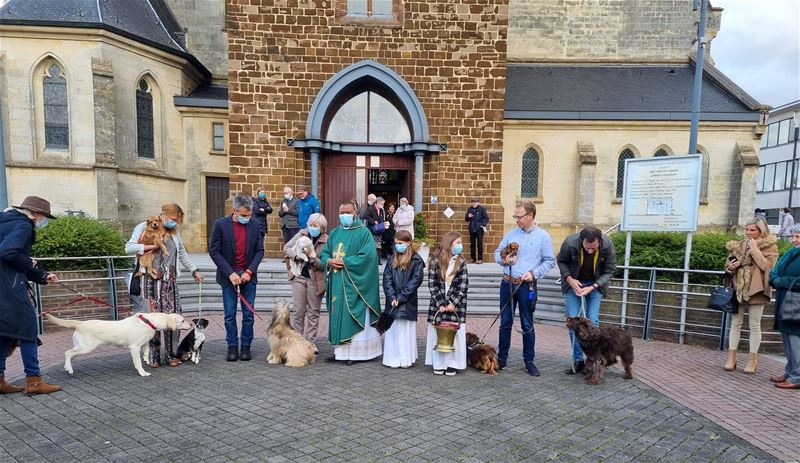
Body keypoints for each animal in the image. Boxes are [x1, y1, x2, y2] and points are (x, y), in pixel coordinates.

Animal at [46, 312, 193, 376]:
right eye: (182, 320)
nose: (192, 324)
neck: (150, 321)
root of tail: (80, 323)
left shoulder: (142, 343)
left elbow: (146, 349)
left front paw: (146, 359)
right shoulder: (134, 347)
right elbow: (138, 362)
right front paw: (142, 372)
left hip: (80, 348)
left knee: (70, 355)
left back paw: (67, 368)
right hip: (86, 348)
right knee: (67, 353)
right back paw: (69, 369)